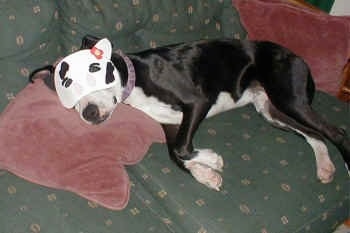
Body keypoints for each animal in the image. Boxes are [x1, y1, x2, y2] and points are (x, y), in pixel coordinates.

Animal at [30, 34, 350, 190]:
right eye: (67, 92)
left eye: (93, 73)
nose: (89, 113)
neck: (135, 78)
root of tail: (298, 56)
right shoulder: (171, 124)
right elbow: (175, 153)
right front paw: (206, 174)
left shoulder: (197, 101)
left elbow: (182, 147)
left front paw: (210, 160)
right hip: (272, 110)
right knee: (315, 134)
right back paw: (325, 166)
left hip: (288, 97)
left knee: (335, 131)